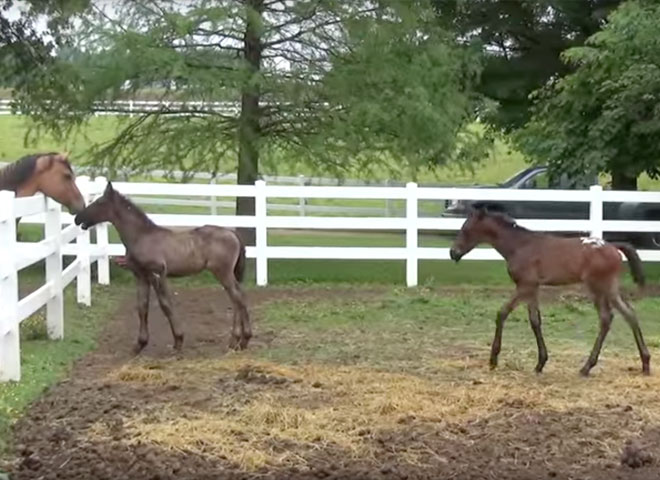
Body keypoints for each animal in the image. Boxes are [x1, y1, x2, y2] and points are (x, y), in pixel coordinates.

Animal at [74, 182, 250, 350]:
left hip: (223, 272)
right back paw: (236, 341)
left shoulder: (156, 273)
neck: (142, 236)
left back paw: (242, 339)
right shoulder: (141, 275)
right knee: (237, 298)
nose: (77, 218)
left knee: (238, 298)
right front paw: (140, 344)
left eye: (99, 202)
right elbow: (142, 307)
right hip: (227, 274)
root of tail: (233, 233)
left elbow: (165, 305)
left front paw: (178, 341)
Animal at [448, 204, 648, 376]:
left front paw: (493, 359)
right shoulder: (532, 288)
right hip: (609, 288)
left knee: (608, 318)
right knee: (628, 314)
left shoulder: (524, 286)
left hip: (599, 288)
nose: (453, 253)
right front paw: (540, 363)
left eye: (466, 230)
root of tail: (613, 247)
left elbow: (502, 313)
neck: (520, 246)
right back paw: (645, 363)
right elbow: (535, 321)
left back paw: (587, 367)